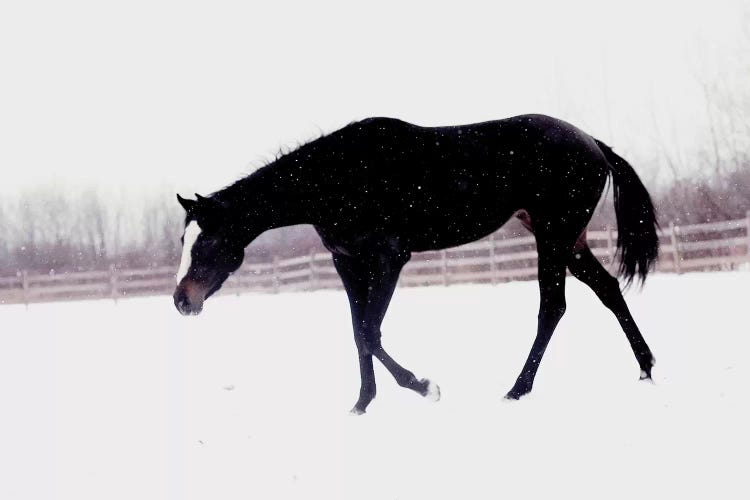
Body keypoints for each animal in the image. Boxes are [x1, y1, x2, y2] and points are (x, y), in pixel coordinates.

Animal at [172, 114, 656, 414]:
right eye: (183, 240)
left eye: (207, 242)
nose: (182, 301)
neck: (335, 178)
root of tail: (594, 144)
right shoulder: (348, 264)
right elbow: (358, 333)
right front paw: (361, 404)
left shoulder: (389, 258)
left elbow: (370, 332)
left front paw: (426, 388)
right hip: (568, 240)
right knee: (608, 289)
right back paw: (646, 369)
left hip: (553, 238)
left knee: (552, 307)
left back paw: (516, 391)